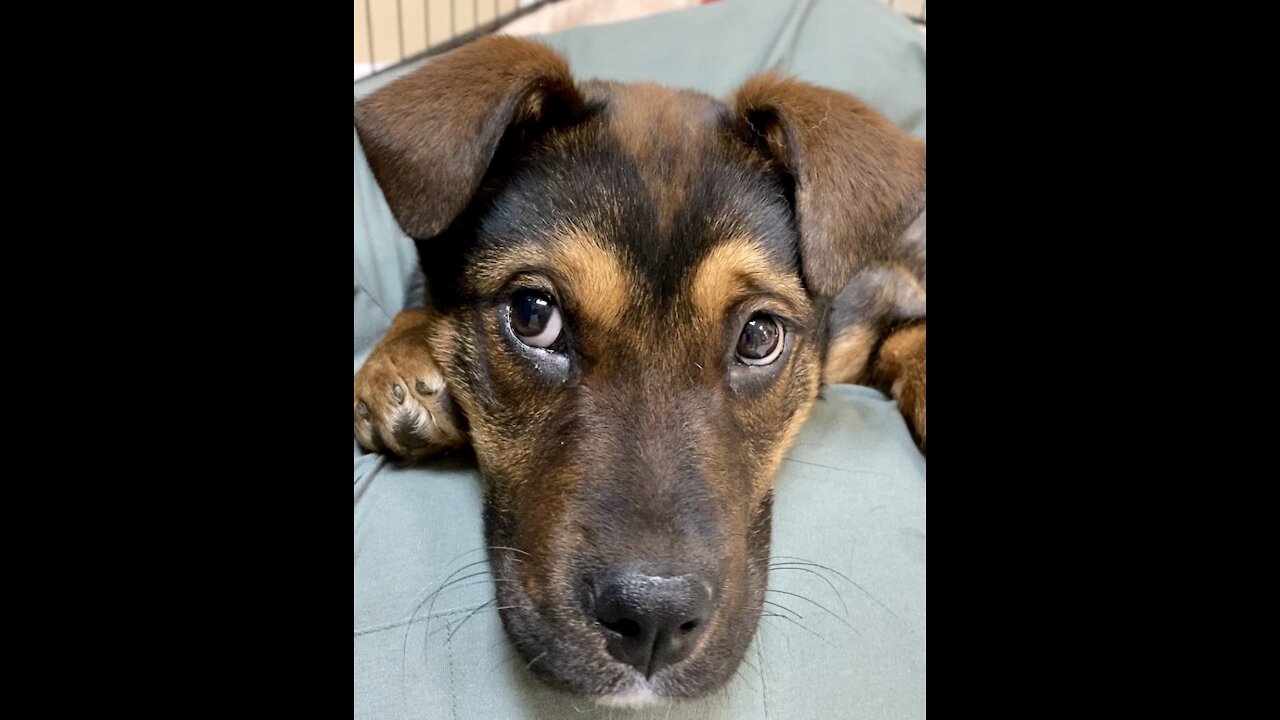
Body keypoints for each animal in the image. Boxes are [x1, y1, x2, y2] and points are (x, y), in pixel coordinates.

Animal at [355, 37, 926, 702]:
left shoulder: (881, 296)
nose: (653, 621)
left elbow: (910, 334)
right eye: (532, 315)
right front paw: (399, 362)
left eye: (760, 336)